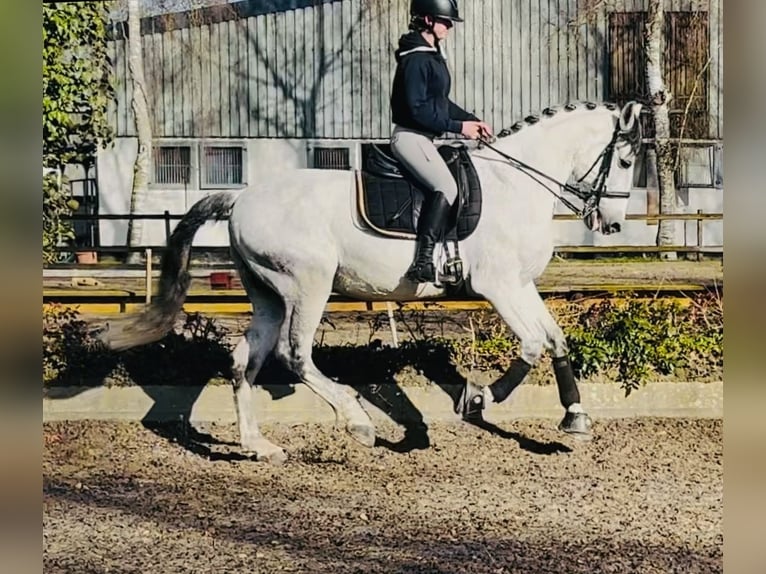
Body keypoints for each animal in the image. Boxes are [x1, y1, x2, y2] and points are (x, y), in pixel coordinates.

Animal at [102, 100, 643, 464]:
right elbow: (532, 344)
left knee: (243, 361)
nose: (613, 224)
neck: (517, 184)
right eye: (626, 161)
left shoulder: (522, 285)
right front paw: (477, 400)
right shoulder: (499, 287)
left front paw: (574, 416)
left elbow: (555, 338)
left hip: (269, 295)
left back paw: (260, 445)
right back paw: (357, 421)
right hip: (308, 285)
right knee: (294, 355)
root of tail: (240, 198)